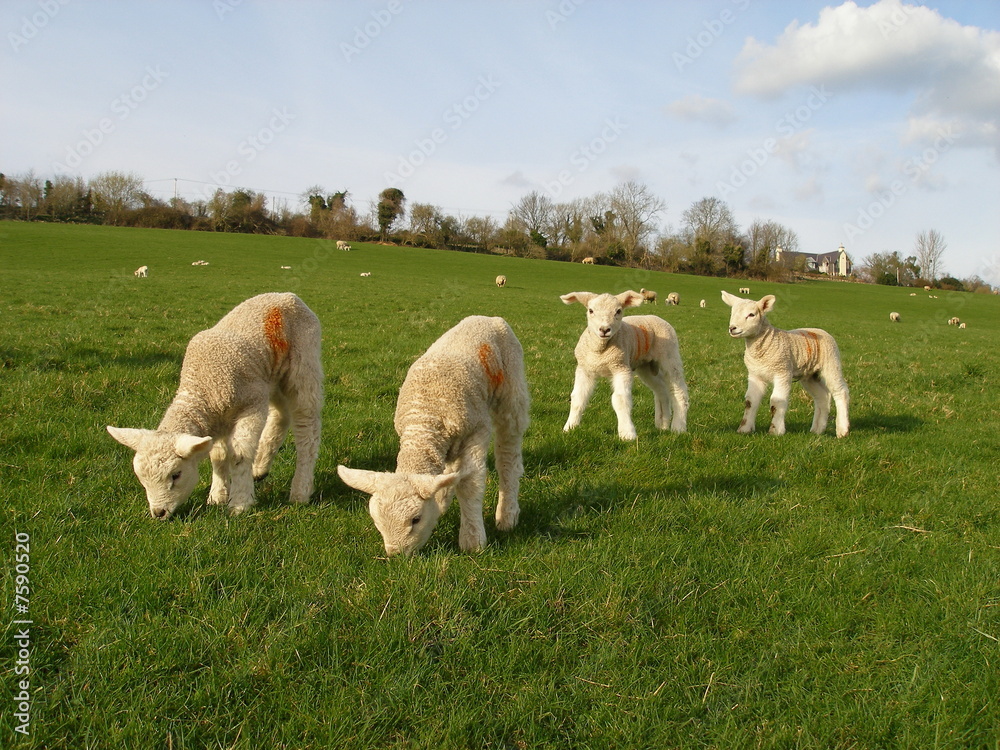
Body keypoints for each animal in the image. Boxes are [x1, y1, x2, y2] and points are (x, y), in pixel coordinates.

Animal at [107, 292, 323, 519]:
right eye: (141, 478)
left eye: (176, 475)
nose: (159, 513)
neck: (203, 387)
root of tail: (287, 296)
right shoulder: (218, 419)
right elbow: (218, 456)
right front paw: (217, 496)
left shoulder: (252, 404)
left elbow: (239, 454)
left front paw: (240, 503)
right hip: (271, 377)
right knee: (281, 415)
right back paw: (260, 468)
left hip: (303, 365)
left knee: (307, 427)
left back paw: (300, 490)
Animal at [338, 316, 529, 556]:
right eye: (377, 521)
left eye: (416, 520)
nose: (396, 556)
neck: (423, 418)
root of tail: (487, 317)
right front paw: (441, 500)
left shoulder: (478, 429)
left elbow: (470, 484)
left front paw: (473, 540)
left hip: (512, 392)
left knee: (508, 455)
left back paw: (507, 514)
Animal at [561, 290, 688, 440]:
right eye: (590, 310)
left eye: (618, 311)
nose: (604, 329)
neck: (600, 351)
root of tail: (656, 318)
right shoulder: (585, 369)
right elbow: (578, 398)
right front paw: (569, 427)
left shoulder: (621, 367)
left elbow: (620, 399)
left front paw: (627, 433)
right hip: (646, 366)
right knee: (661, 389)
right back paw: (662, 424)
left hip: (670, 356)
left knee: (679, 391)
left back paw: (678, 427)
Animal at [722, 291, 849, 438]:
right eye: (732, 313)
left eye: (751, 315)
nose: (732, 328)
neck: (764, 345)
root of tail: (820, 331)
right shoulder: (755, 374)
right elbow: (750, 401)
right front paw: (744, 429)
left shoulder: (782, 372)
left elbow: (777, 401)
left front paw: (776, 430)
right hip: (810, 375)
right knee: (823, 396)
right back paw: (817, 430)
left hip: (831, 362)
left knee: (840, 391)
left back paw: (842, 430)